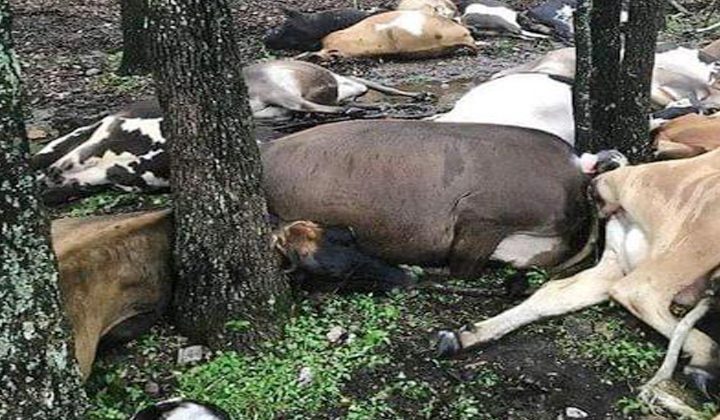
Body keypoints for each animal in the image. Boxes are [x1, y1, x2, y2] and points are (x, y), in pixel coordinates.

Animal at [436, 149, 720, 396]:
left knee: (555, 292)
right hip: (696, 236)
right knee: (639, 291)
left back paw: (462, 336)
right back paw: (706, 361)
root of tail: (613, 180)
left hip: (616, 264)